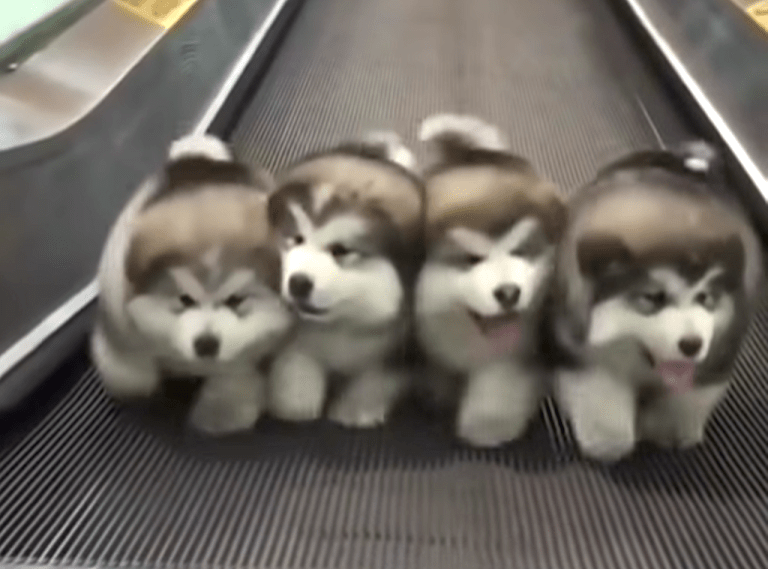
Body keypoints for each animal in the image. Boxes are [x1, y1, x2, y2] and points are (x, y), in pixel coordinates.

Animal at [91, 133, 294, 434]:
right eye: (185, 299)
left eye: (235, 300)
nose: (206, 345)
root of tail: (198, 157)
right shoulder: (119, 309)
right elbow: (130, 371)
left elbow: (234, 375)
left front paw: (222, 412)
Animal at [262, 131, 420, 428]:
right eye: (296, 239)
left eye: (341, 251)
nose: (298, 283)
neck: (344, 325)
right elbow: (296, 361)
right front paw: (295, 400)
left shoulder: (402, 351)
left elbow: (377, 377)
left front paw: (356, 408)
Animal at [412, 113, 568, 446]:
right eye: (472, 259)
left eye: (520, 251)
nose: (509, 293)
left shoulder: (516, 350)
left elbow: (499, 386)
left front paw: (488, 426)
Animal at [552, 142, 760, 462]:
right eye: (652, 298)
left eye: (706, 298)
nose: (692, 344)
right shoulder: (581, 352)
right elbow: (601, 400)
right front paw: (606, 441)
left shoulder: (719, 355)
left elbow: (689, 398)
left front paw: (669, 430)